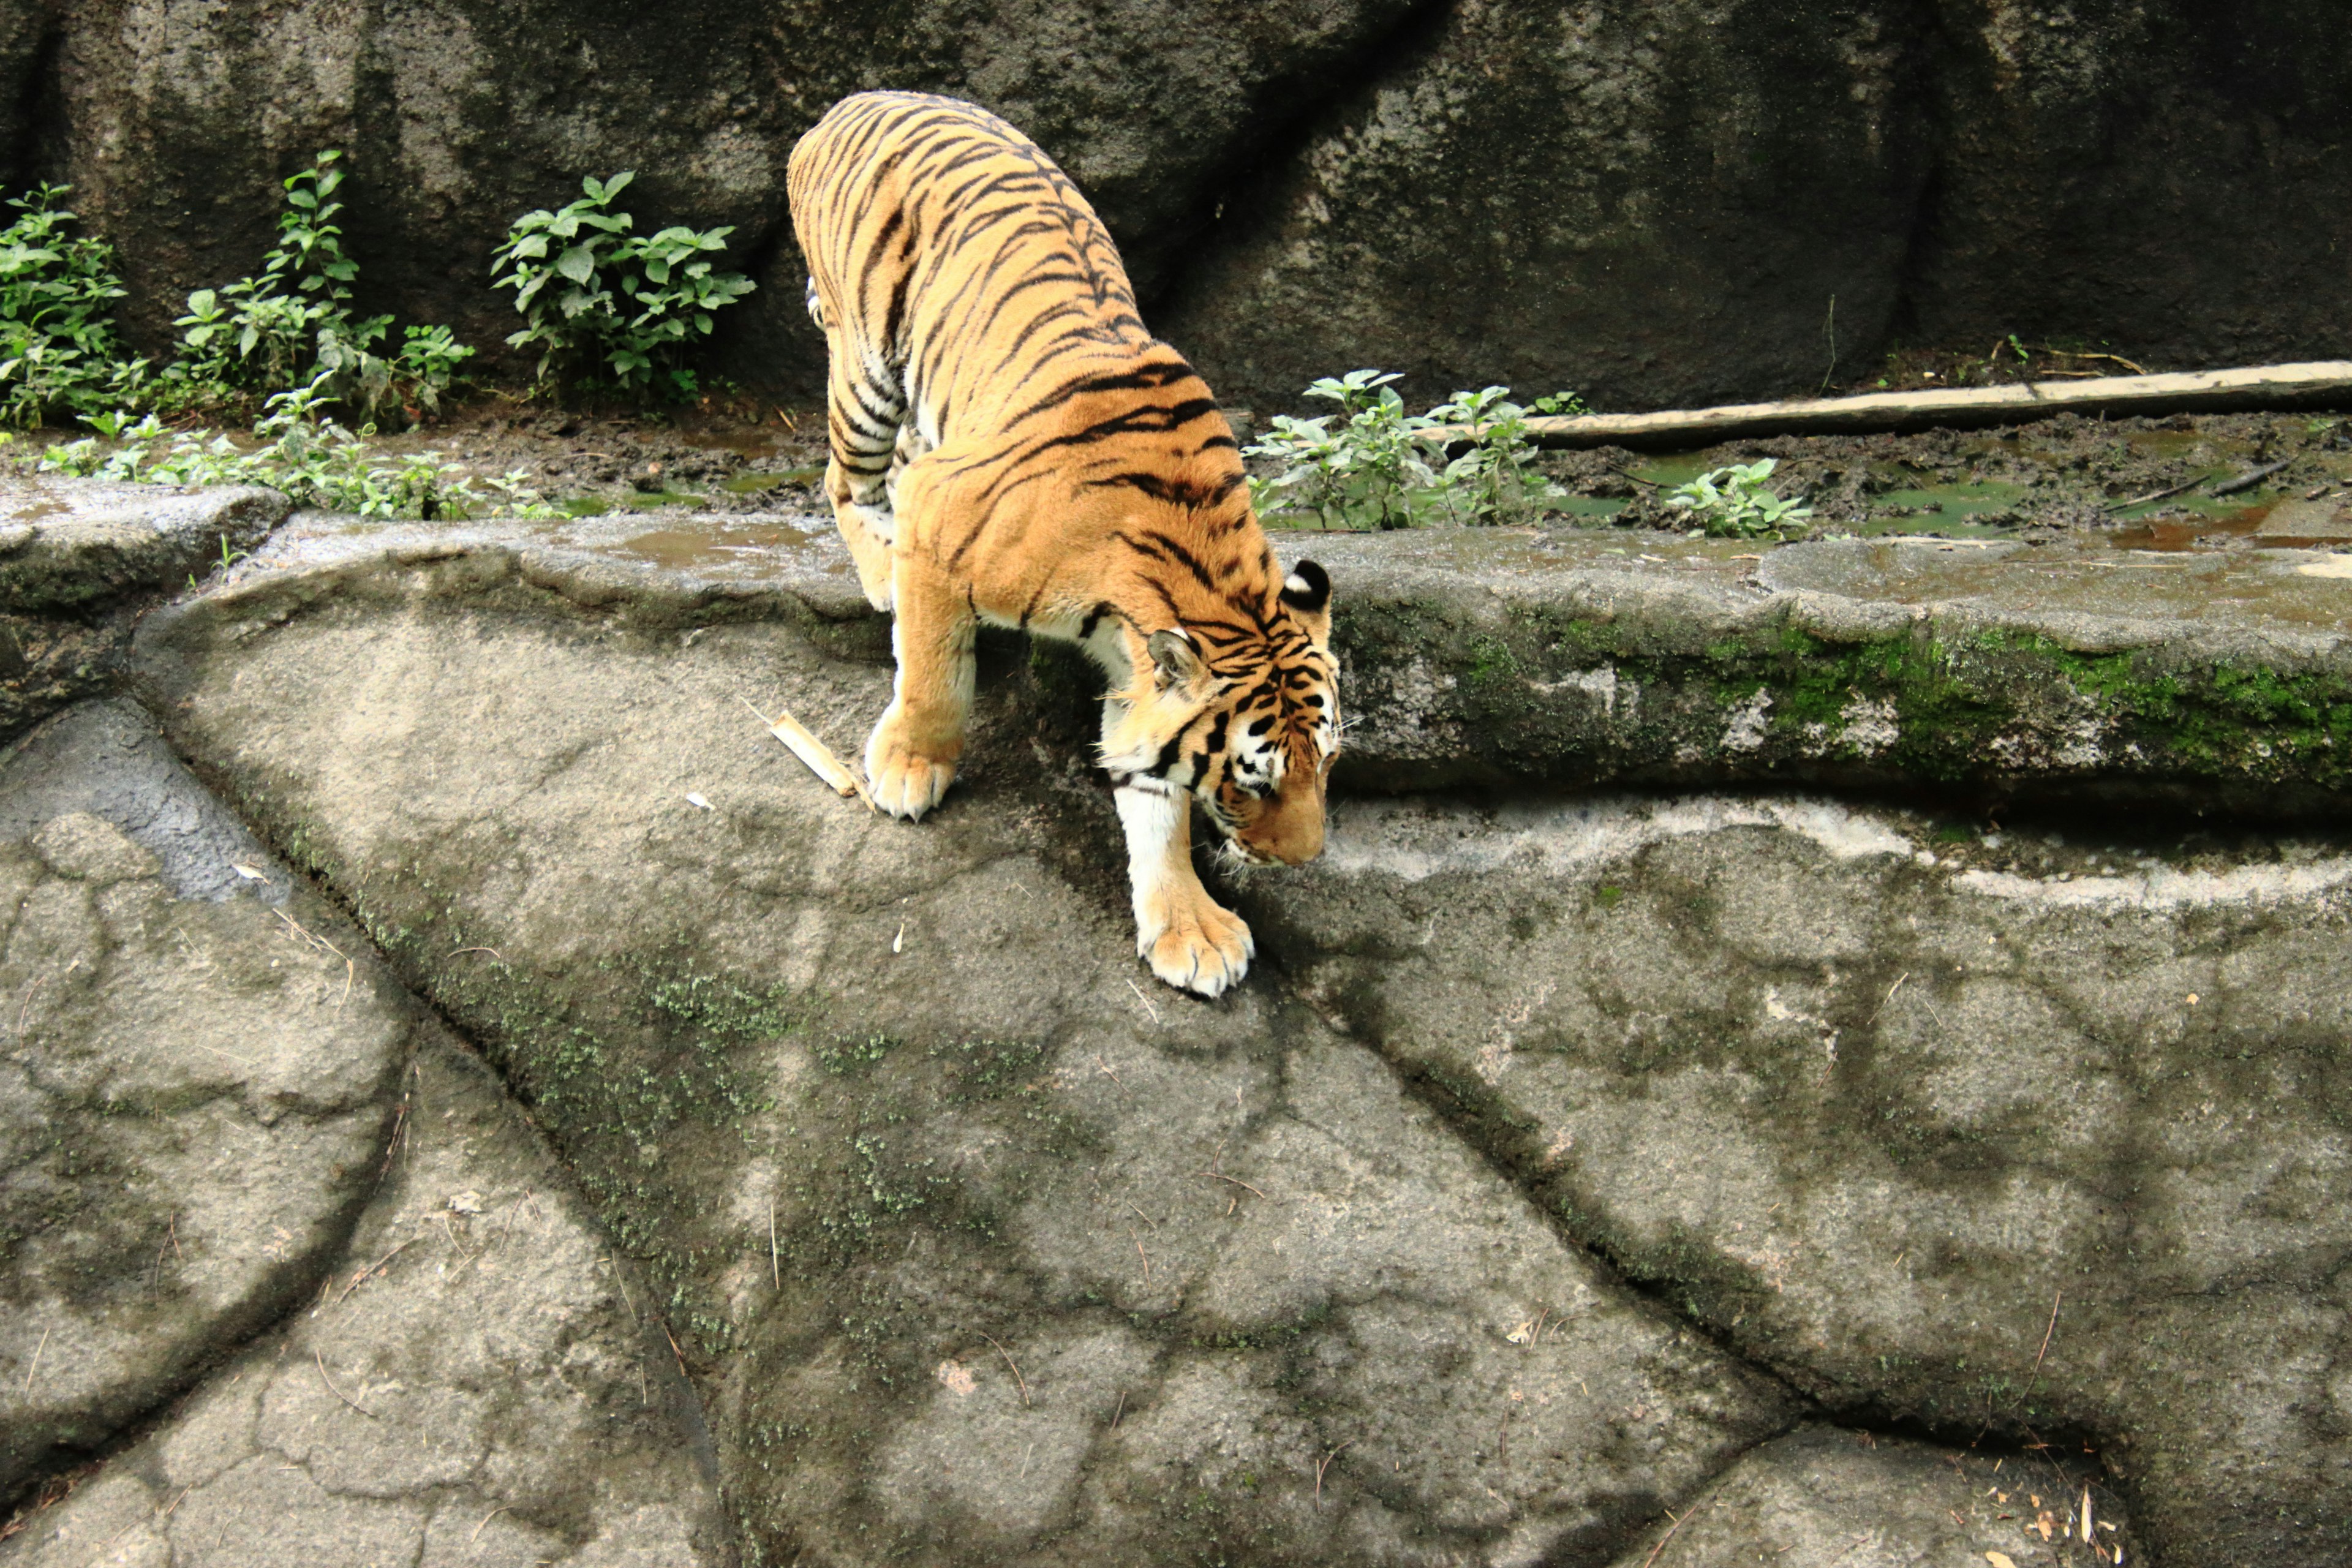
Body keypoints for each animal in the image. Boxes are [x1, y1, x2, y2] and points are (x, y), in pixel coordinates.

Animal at [790, 92, 1345, 1001]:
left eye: (1327, 761)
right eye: (1253, 778)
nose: (1303, 860)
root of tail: (853, 101)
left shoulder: (1136, 670)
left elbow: (1155, 795)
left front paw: (1189, 927)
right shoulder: (942, 516)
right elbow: (936, 671)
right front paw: (910, 765)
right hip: (865, 366)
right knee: (845, 479)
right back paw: (878, 573)